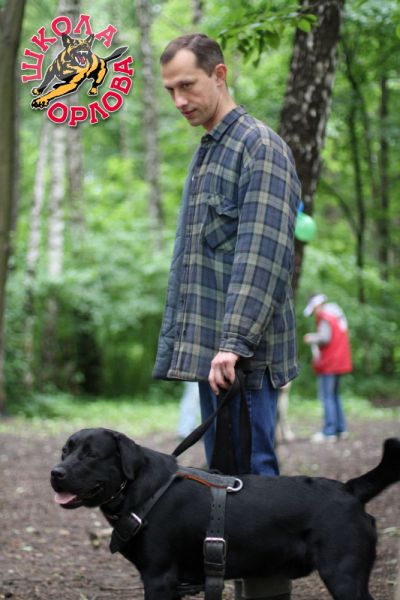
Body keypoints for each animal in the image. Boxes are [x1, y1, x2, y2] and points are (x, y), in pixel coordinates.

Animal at [51, 428, 400, 600]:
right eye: (65, 450)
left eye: (91, 455)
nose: (55, 473)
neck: (142, 490)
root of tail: (350, 489)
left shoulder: (159, 577)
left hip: (343, 575)